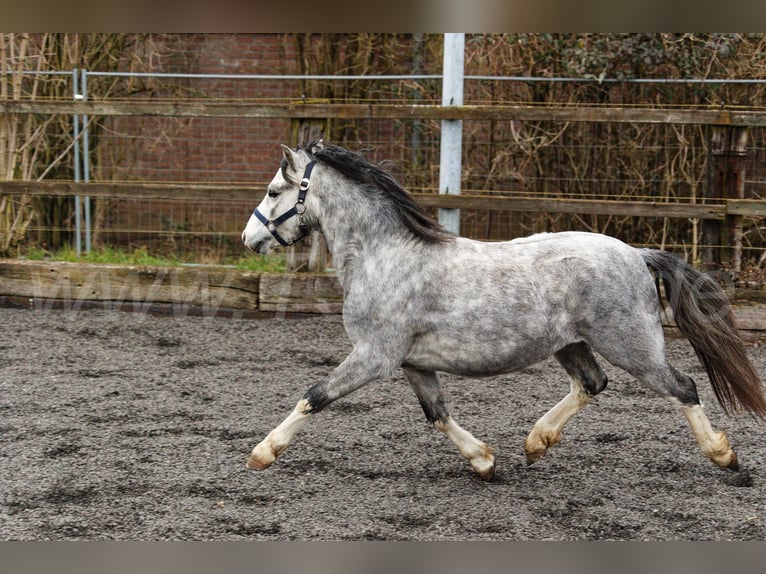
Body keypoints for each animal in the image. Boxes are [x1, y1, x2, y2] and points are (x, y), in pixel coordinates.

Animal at [242, 141, 766, 482]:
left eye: (272, 191)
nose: (248, 238)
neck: (384, 255)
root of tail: (637, 254)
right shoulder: (412, 363)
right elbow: (437, 414)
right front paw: (484, 461)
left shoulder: (375, 356)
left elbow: (315, 395)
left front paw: (263, 453)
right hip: (572, 345)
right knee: (592, 384)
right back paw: (536, 442)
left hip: (630, 345)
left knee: (684, 386)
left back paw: (725, 457)